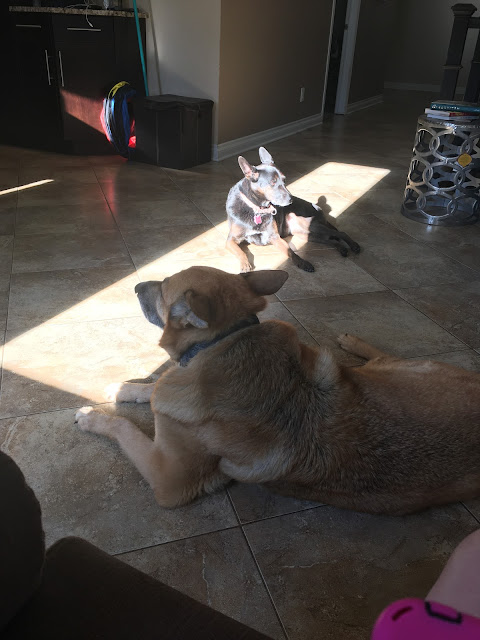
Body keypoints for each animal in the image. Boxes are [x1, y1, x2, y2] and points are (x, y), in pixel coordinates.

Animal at [75, 266, 480, 516]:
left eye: (163, 287)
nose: (133, 286)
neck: (226, 340)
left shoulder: (167, 479)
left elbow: (125, 424)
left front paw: (94, 415)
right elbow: (155, 386)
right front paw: (123, 388)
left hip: (400, 369)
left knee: (386, 356)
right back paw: (350, 342)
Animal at [226, 147, 360, 273]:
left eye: (284, 180)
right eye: (273, 182)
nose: (291, 200)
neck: (256, 209)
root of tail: (319, 209)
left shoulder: (275, 238)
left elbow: (290, 252)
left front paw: (303, 263)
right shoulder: (230, 240)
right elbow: (241, 252)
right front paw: (245, 264)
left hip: (311, 225)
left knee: (340, 233)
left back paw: (354, 246)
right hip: (306, 234)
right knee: (330, 240)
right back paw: (342, 249)